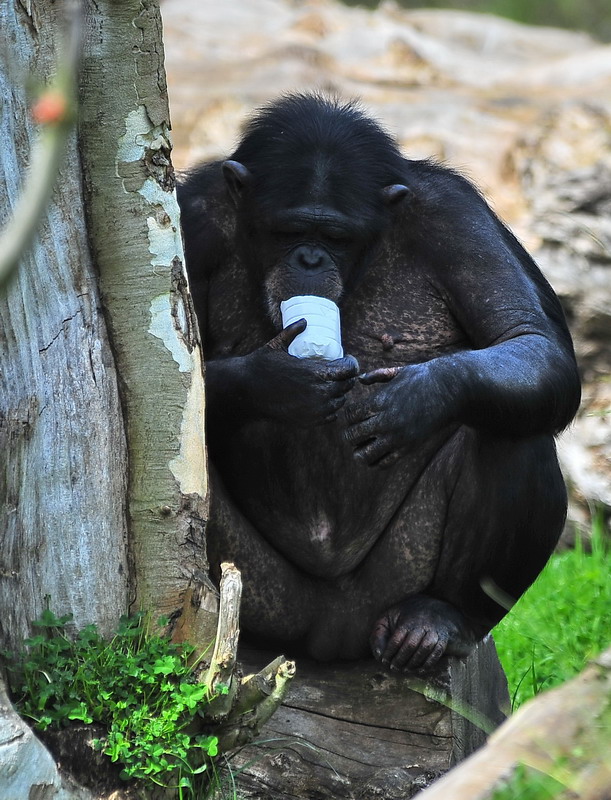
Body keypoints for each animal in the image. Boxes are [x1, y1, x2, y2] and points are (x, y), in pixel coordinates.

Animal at [178, 95, 584, 676]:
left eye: (336, 237)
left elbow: (530, 339)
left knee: (511, 430)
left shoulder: (457, 217)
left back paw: (436, 619)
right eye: (287, 232)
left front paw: (413, 400)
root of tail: (329, 638)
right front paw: (279, 382)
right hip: (267, 597)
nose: (309, 259)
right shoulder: (191, 217)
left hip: (391, 583)